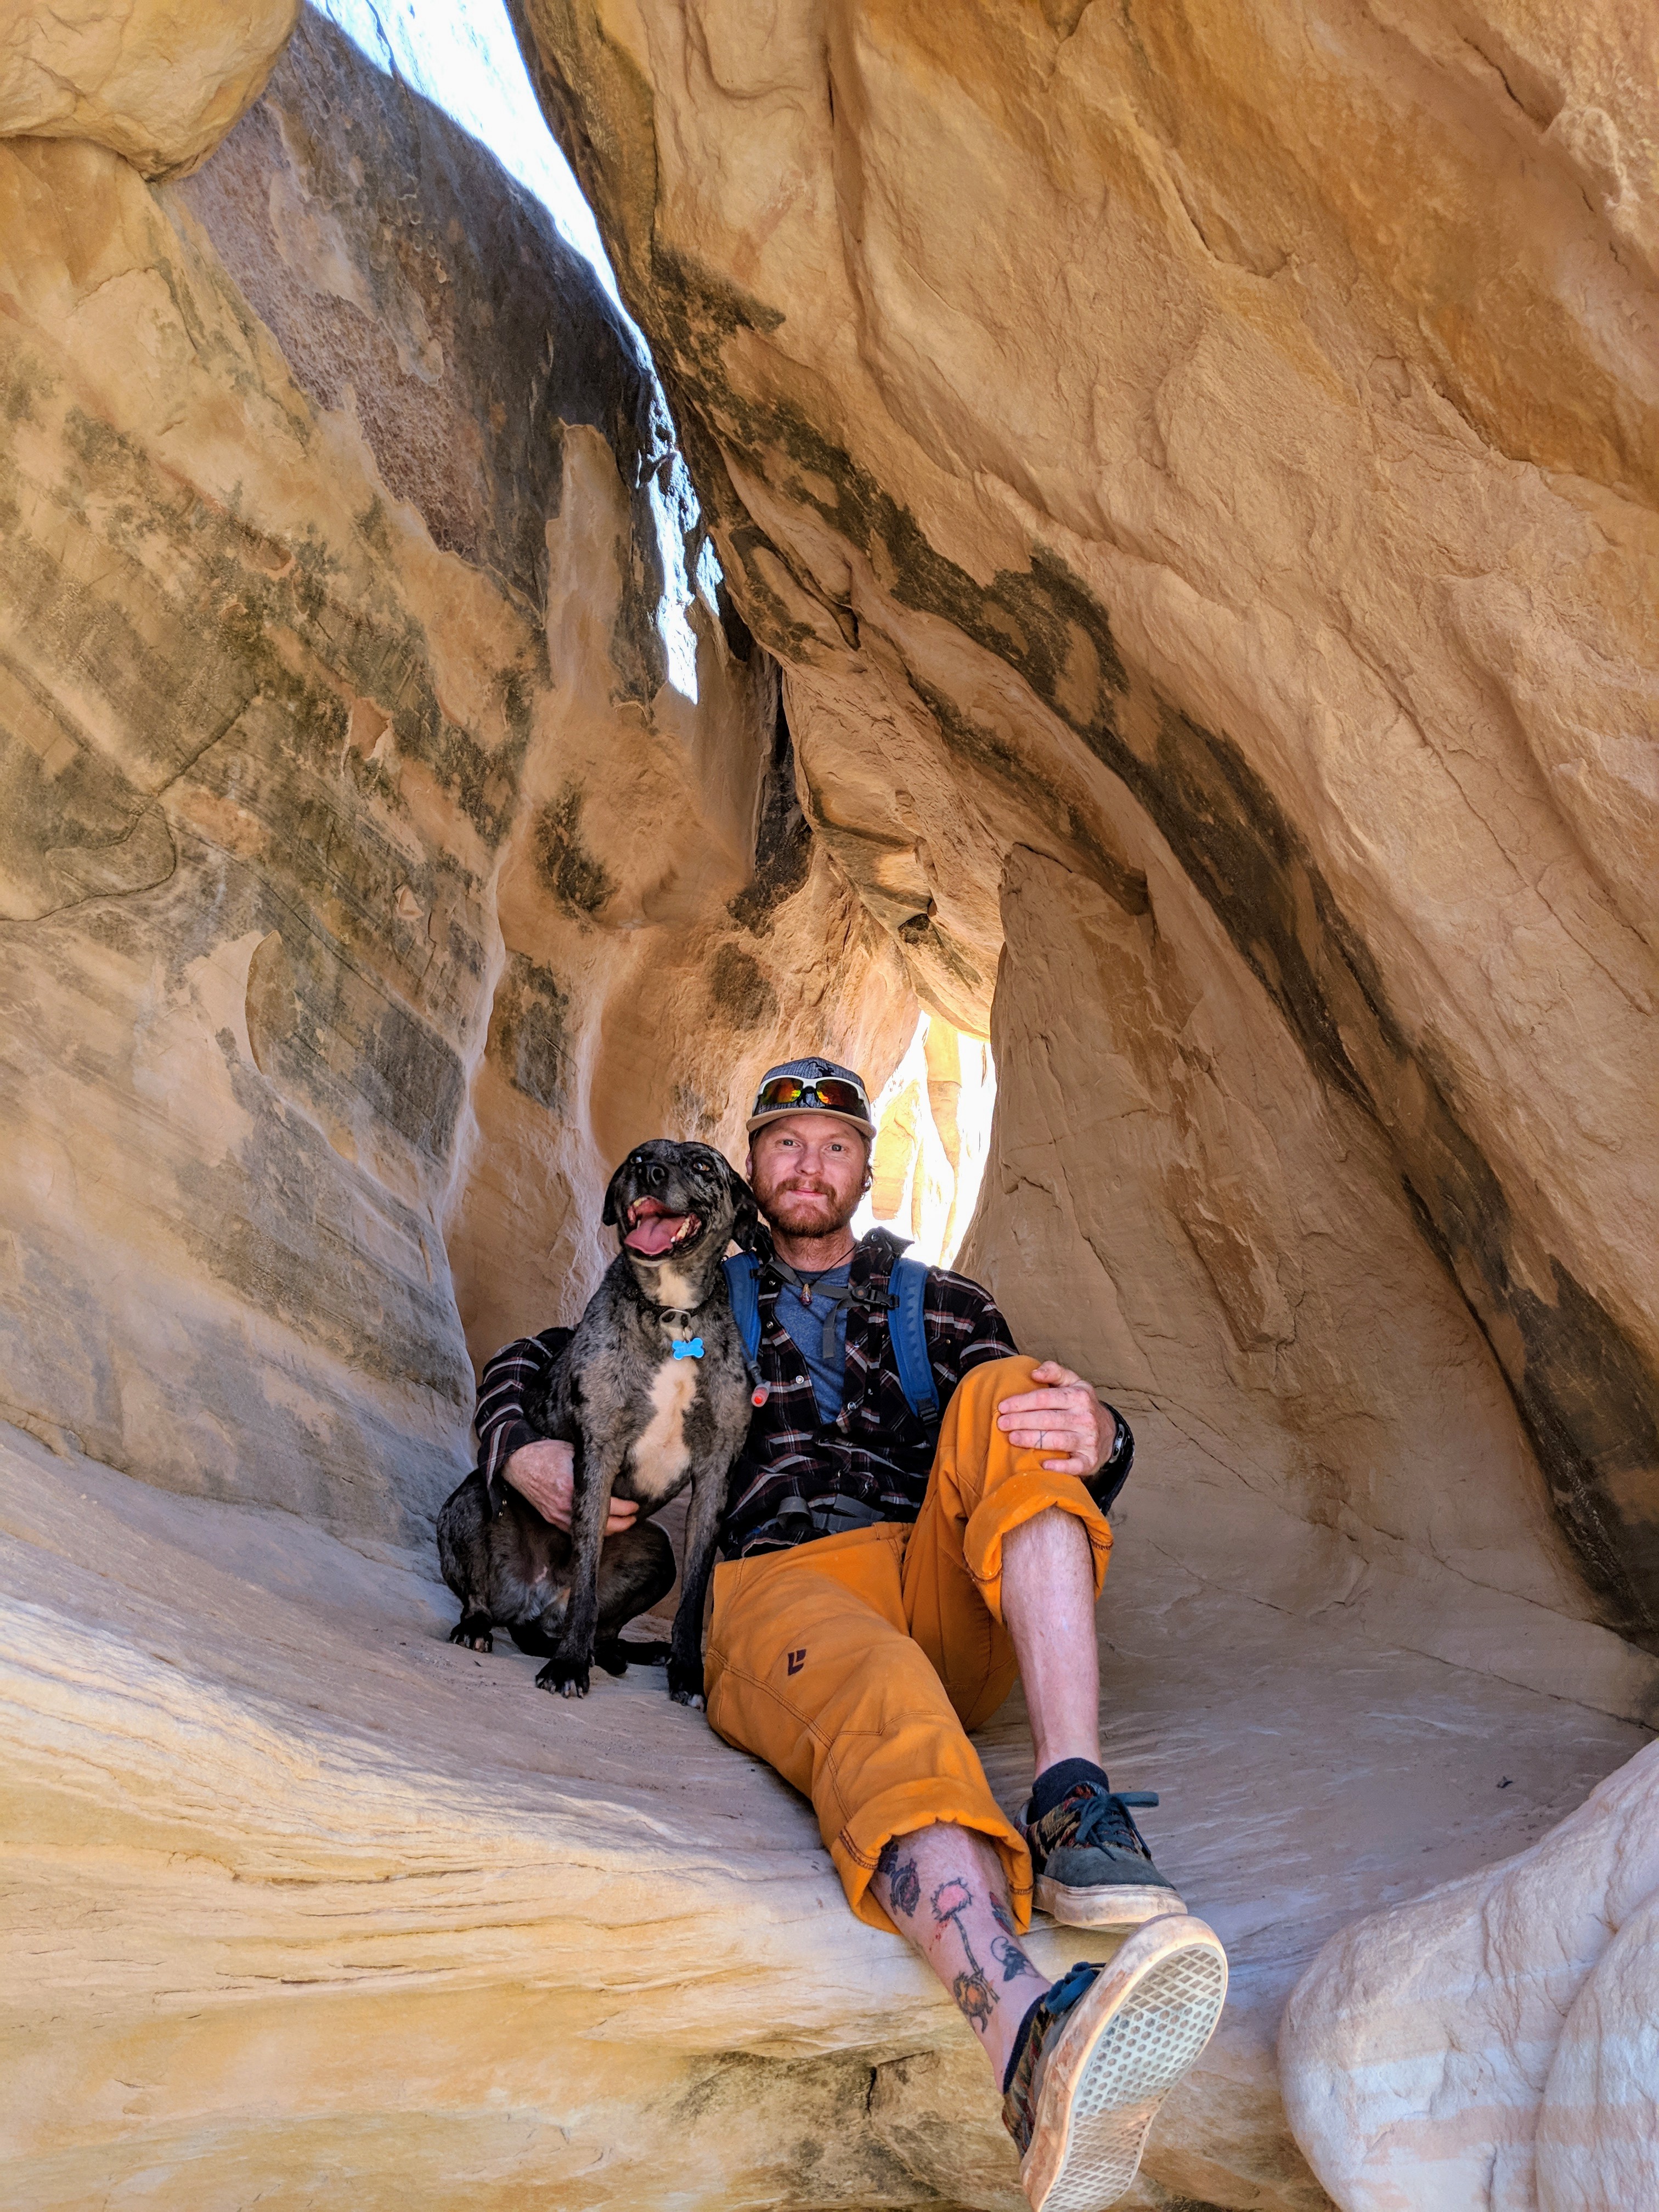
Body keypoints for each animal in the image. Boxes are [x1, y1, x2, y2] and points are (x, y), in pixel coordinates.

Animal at [436, 1141, 761, 1707]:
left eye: (702, 1164)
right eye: (639, 1157)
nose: (650, 1172)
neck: (673, 1313)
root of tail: (536, 1603)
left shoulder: (715, 1474)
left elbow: (694, 1595)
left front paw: (687, 1672)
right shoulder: (599, 1453)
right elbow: (586, 1576)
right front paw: (568, 1665)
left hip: (656, 1551)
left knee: (606, 1630)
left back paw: (625, 1653)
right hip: (473, 1503)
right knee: (486, 1597)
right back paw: (485, 1628)